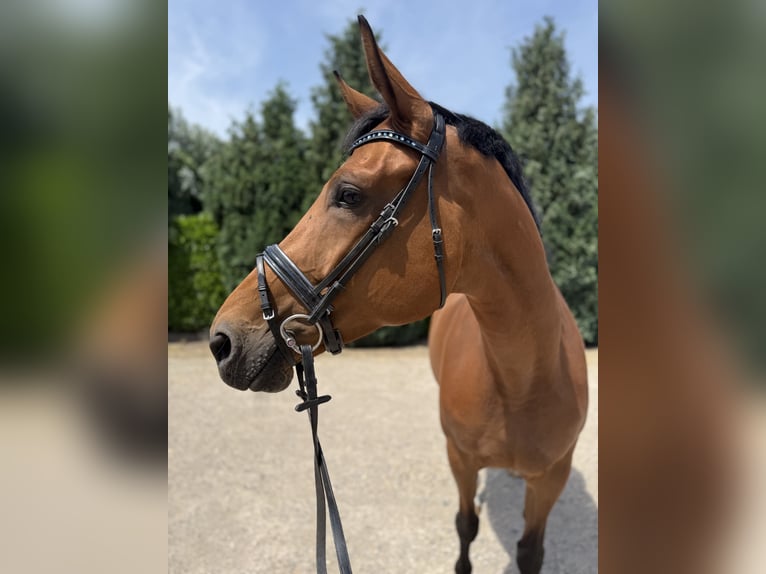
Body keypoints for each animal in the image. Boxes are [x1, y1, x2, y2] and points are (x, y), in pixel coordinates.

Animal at [209, 15, 588, 574]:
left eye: (348, 194)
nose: (222, 340)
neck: (525, 377)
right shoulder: (460, 460)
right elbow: (466, 526)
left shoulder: (552, 477)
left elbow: (530, 551)